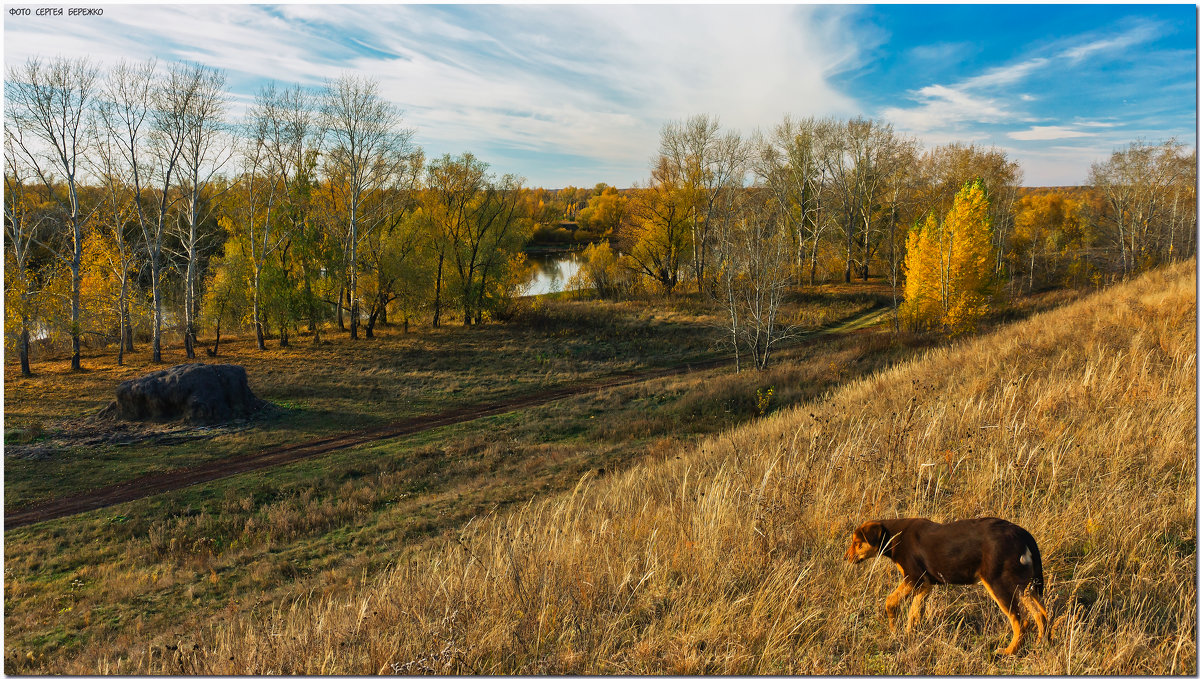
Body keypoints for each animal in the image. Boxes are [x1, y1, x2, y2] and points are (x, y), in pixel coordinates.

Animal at [844, 518, 1051, 657]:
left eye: (857, 543)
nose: (845, 558)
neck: (893, 535)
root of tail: (1022, 534)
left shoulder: (913, 578)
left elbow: (891, 602)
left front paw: (894, 630)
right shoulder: (925, 584)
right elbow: (914, 612)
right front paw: (909, 635)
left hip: (998, 583)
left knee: (1020, 621)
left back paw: (1008, 651)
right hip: (1024, 585)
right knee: (1041, 614)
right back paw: (1040, 644)